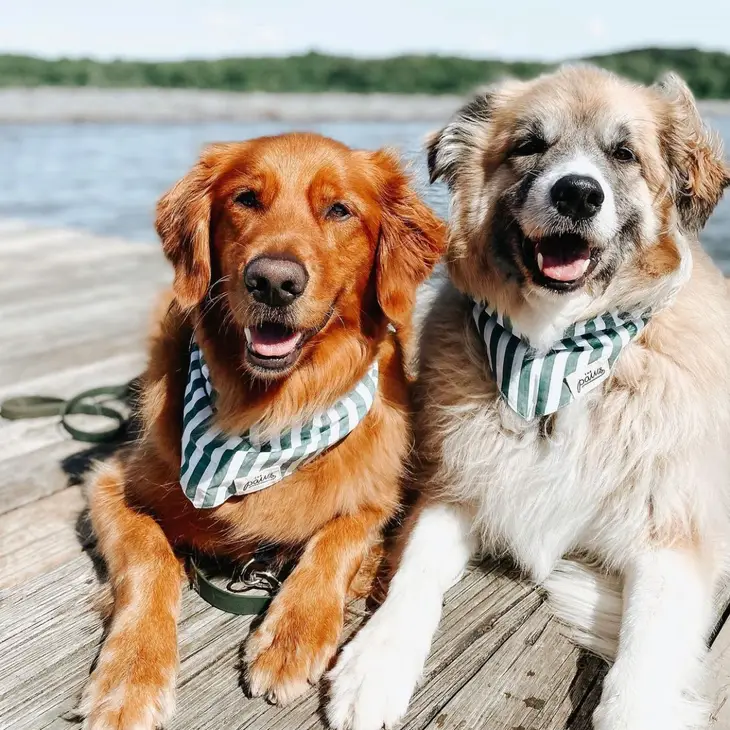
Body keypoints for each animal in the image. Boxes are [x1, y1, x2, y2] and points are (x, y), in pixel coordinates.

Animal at [79, 132, 444, 728]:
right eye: (246, 199)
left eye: (339, 210)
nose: (273, 281)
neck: (269, 414)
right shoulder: (111, 484)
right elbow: (149, 559)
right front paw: (130, 677)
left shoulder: (382, 491)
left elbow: (338, 538)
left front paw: (292, 635)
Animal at [328, 67, 728, 728]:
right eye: (529, 145)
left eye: (625, 154)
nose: (578, 195)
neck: (552, 359)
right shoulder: (456, 486)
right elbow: (414, 576)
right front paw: (376, 663)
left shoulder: (672, 534)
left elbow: (642, 665)